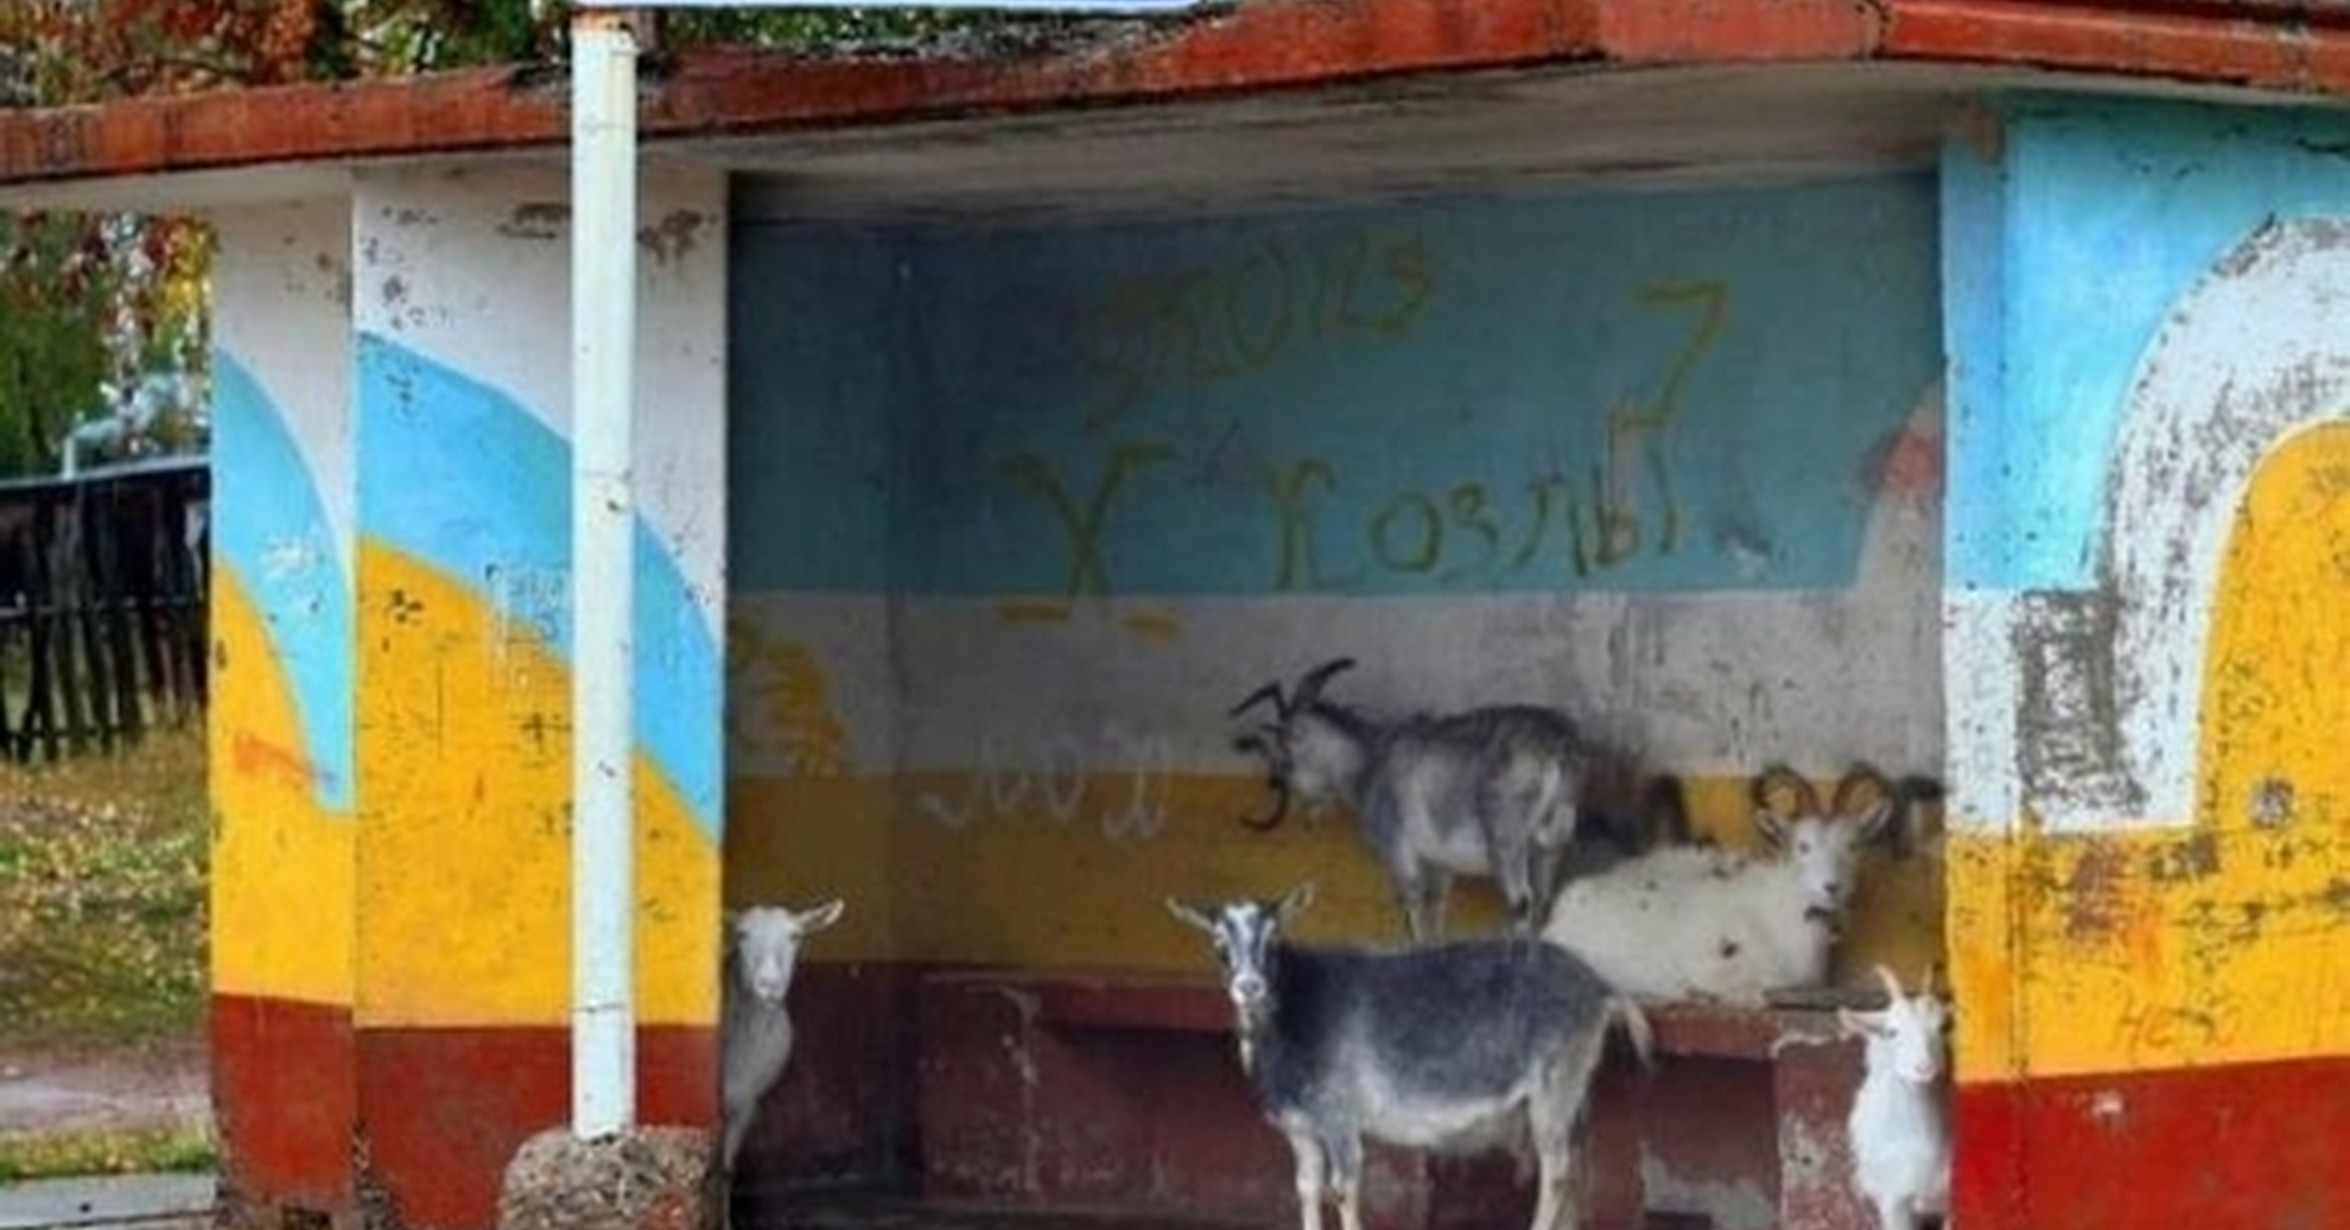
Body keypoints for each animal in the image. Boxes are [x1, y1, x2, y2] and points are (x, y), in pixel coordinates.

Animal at [1167, 882, 1652, 1230]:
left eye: (1272, 939)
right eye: (1218, 943)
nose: (1249, 986)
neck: (1293, 1017)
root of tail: (1601, 988)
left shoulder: (1340, 1118)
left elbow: (1343, 1191)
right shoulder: (1300, 1130)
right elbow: (1306, 1189)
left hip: (1557, 1082)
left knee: (1557, 1172)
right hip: (1572, 1087)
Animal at [1230, 658, 1674, 941]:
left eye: (1283, 759)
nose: (1302, 810)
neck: (1370, 762)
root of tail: (1556, 745)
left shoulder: (1401, 854)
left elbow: (1415, 912)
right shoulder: (1442, 867)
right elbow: (1439, 910)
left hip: (1506, 840)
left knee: (1521, 904)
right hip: (1551, 842)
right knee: (1543, 903)